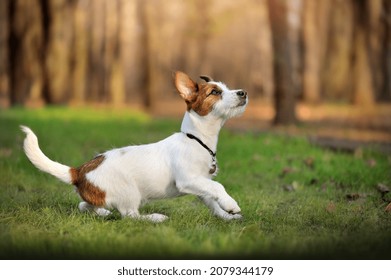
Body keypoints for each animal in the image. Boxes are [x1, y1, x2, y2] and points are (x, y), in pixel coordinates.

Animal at [20, 71, 248, 222]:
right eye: (215, 92)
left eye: (226, 88)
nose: (243, 93)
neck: (196, 139)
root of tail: (79, 171)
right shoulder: (188, 179)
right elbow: (218, 187)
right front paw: (231, 205)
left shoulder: (200, 183)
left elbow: (211, 198)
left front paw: (226, 216)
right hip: (130, 192)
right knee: (130, 216)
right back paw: (155, 218)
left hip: (105, 196)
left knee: (84, 205)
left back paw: (103, 212)